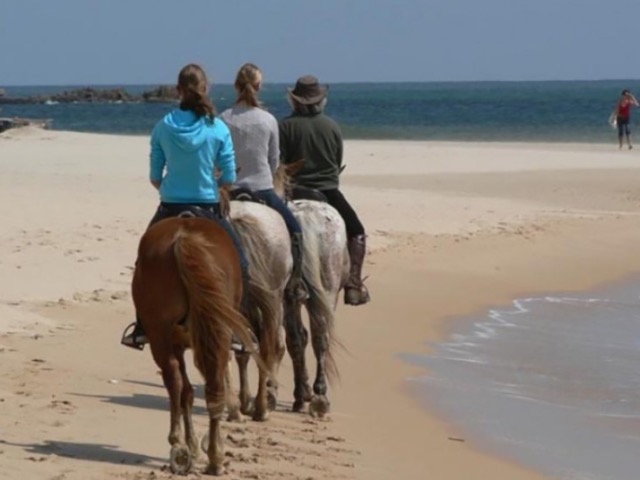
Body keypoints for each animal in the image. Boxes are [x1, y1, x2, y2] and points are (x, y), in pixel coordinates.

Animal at [132, 216, 268, 474]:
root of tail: (183, 237)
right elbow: (189, 392)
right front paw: (194, 446)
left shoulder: (177, 343)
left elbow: (186, 392)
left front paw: (192, 446)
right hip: (214, 333)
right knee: (211, 387)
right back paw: (213, 456)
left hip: (161, 335)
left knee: (177, 382)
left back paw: (180, 445)